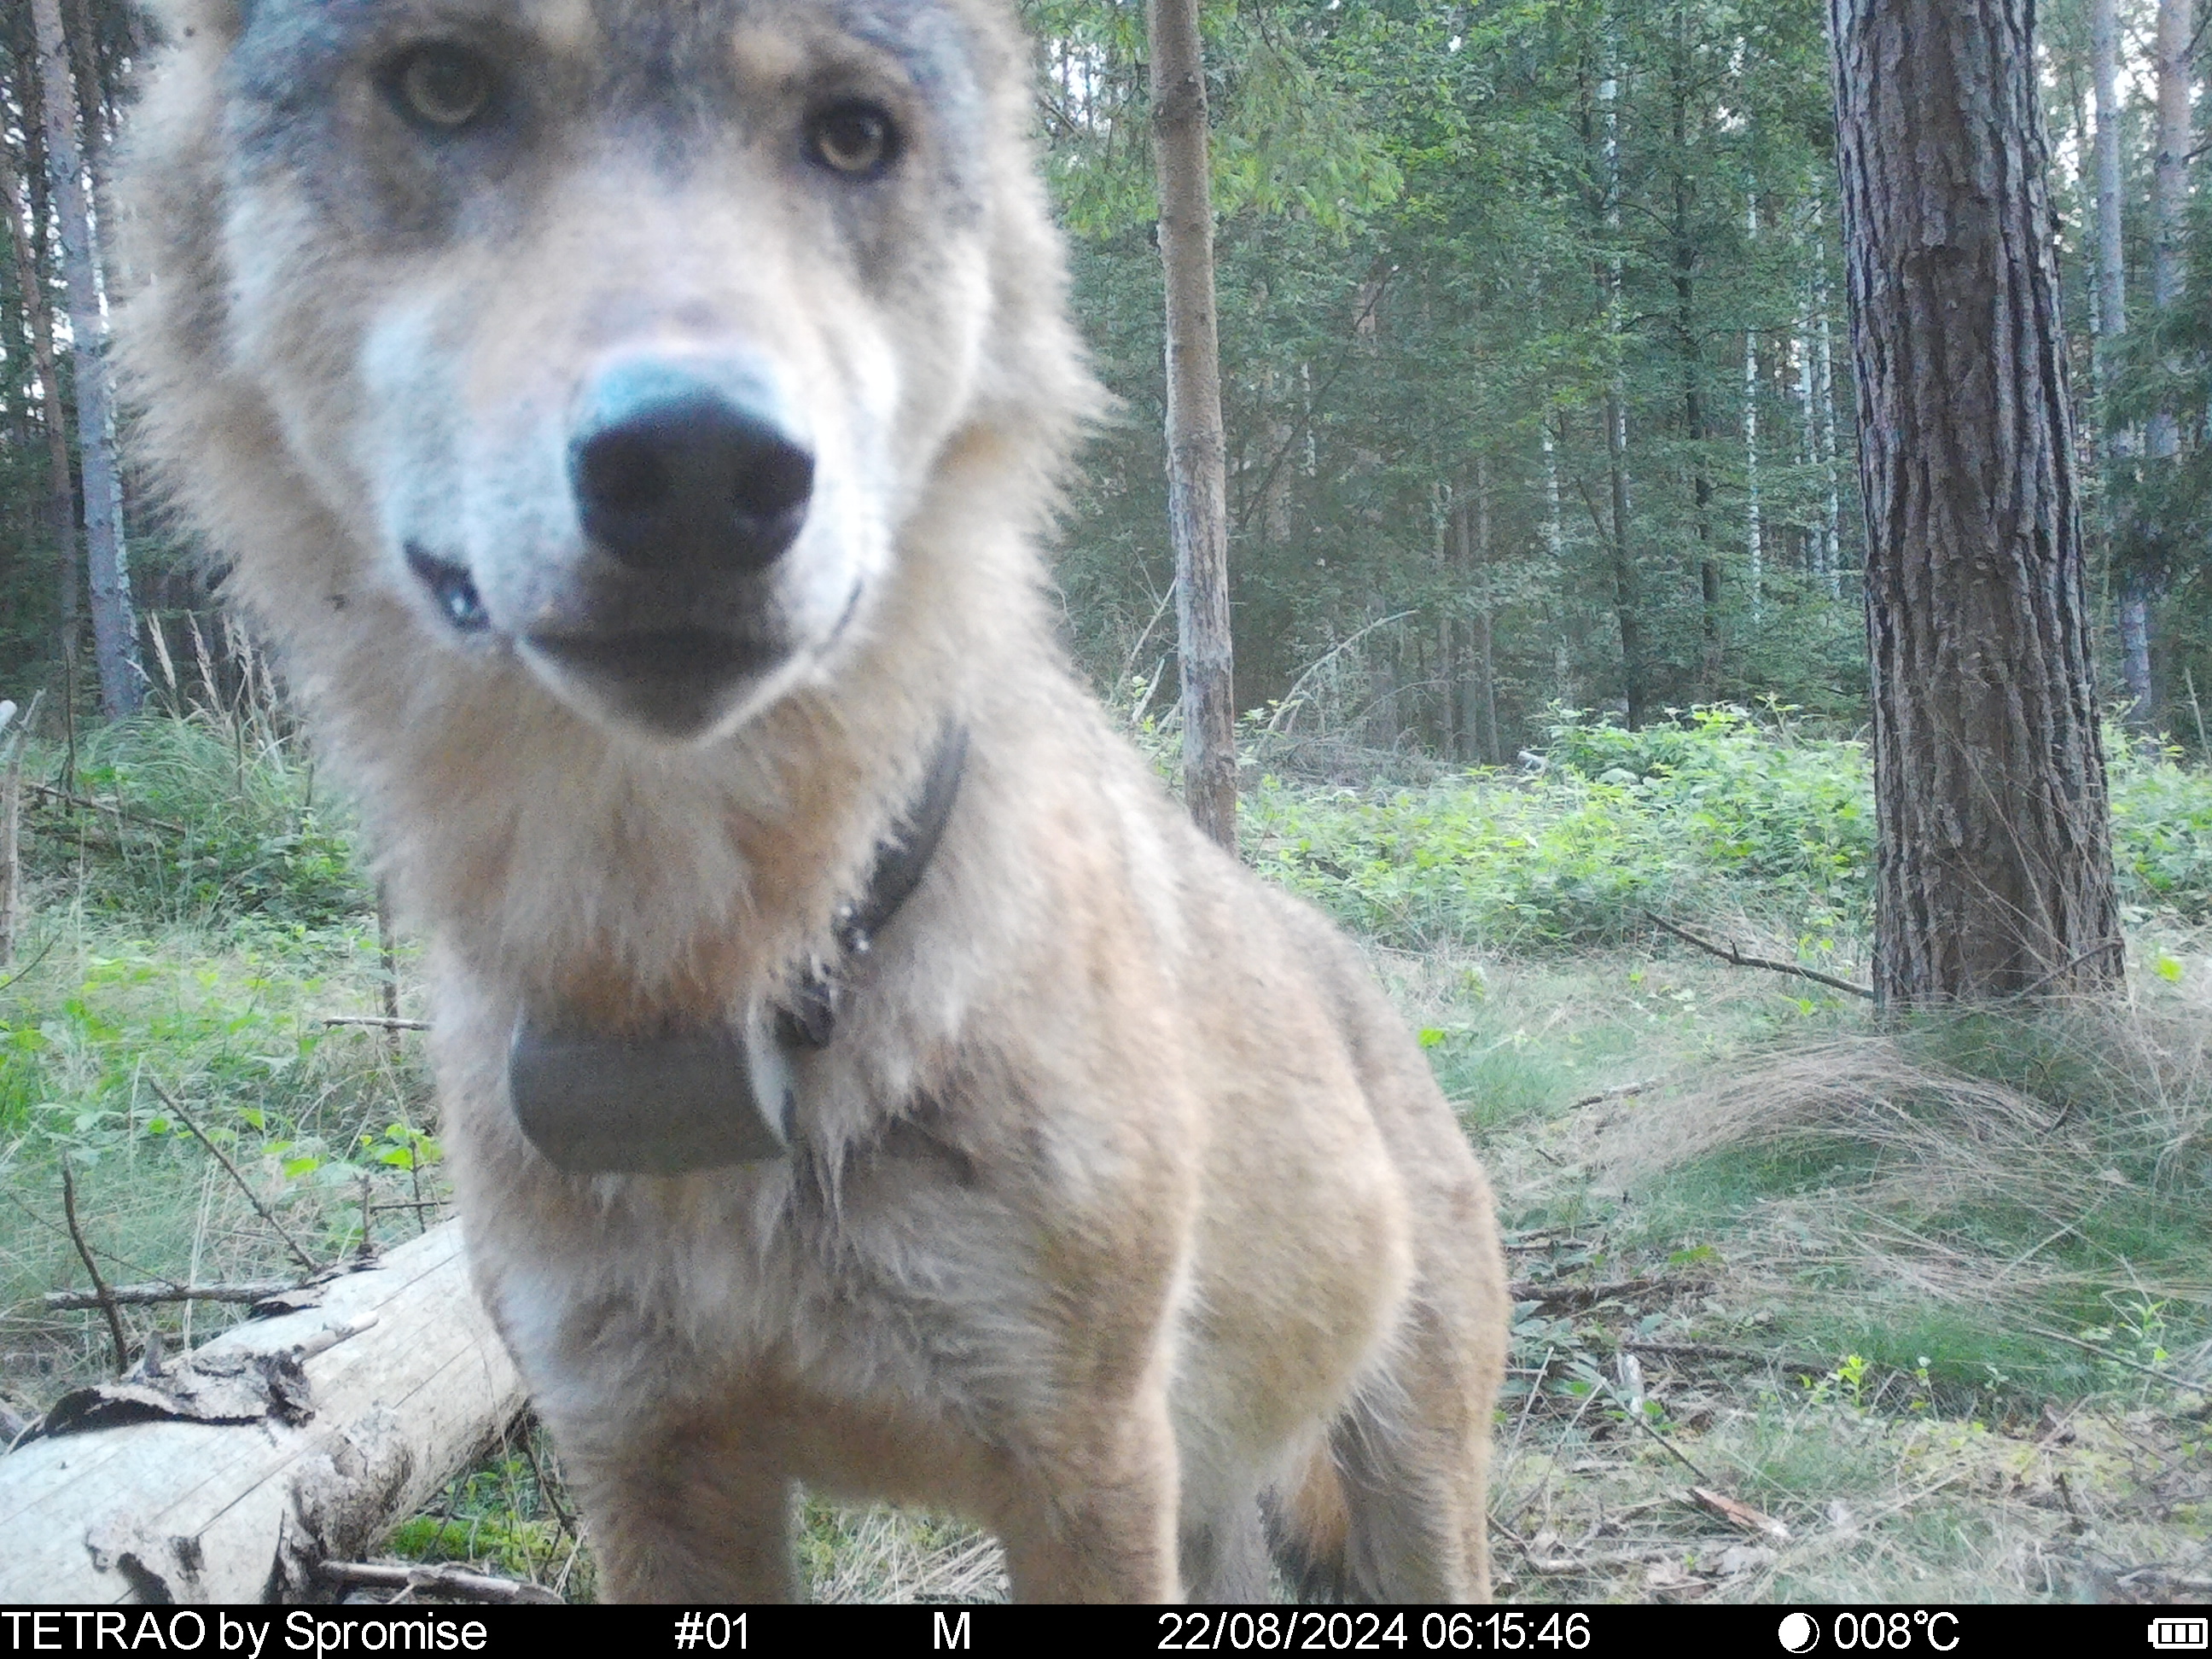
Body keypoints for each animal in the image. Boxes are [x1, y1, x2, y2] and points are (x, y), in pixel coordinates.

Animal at [116, 0, 1504, 1610]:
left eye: (852, 136)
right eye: (447, 87)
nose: (697, 465)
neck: (701, 982)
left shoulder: (1087, 1462)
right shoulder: (641, 1458)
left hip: (1400, 1490)